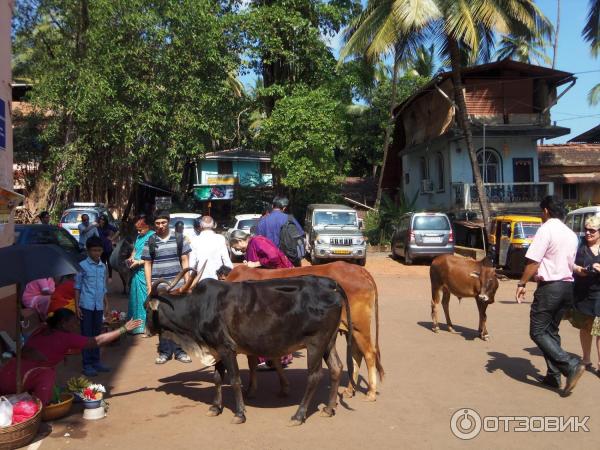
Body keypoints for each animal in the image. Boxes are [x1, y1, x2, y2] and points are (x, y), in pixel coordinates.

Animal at [225, 260, 384, 400]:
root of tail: (359, 270)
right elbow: (274, 360)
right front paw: (284, 387)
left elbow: (252, 363)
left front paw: (251, 390)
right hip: (351, 329)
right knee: (357, 354)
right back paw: (350, 390)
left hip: (359, 327)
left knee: (369, 354)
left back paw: (371, 392)